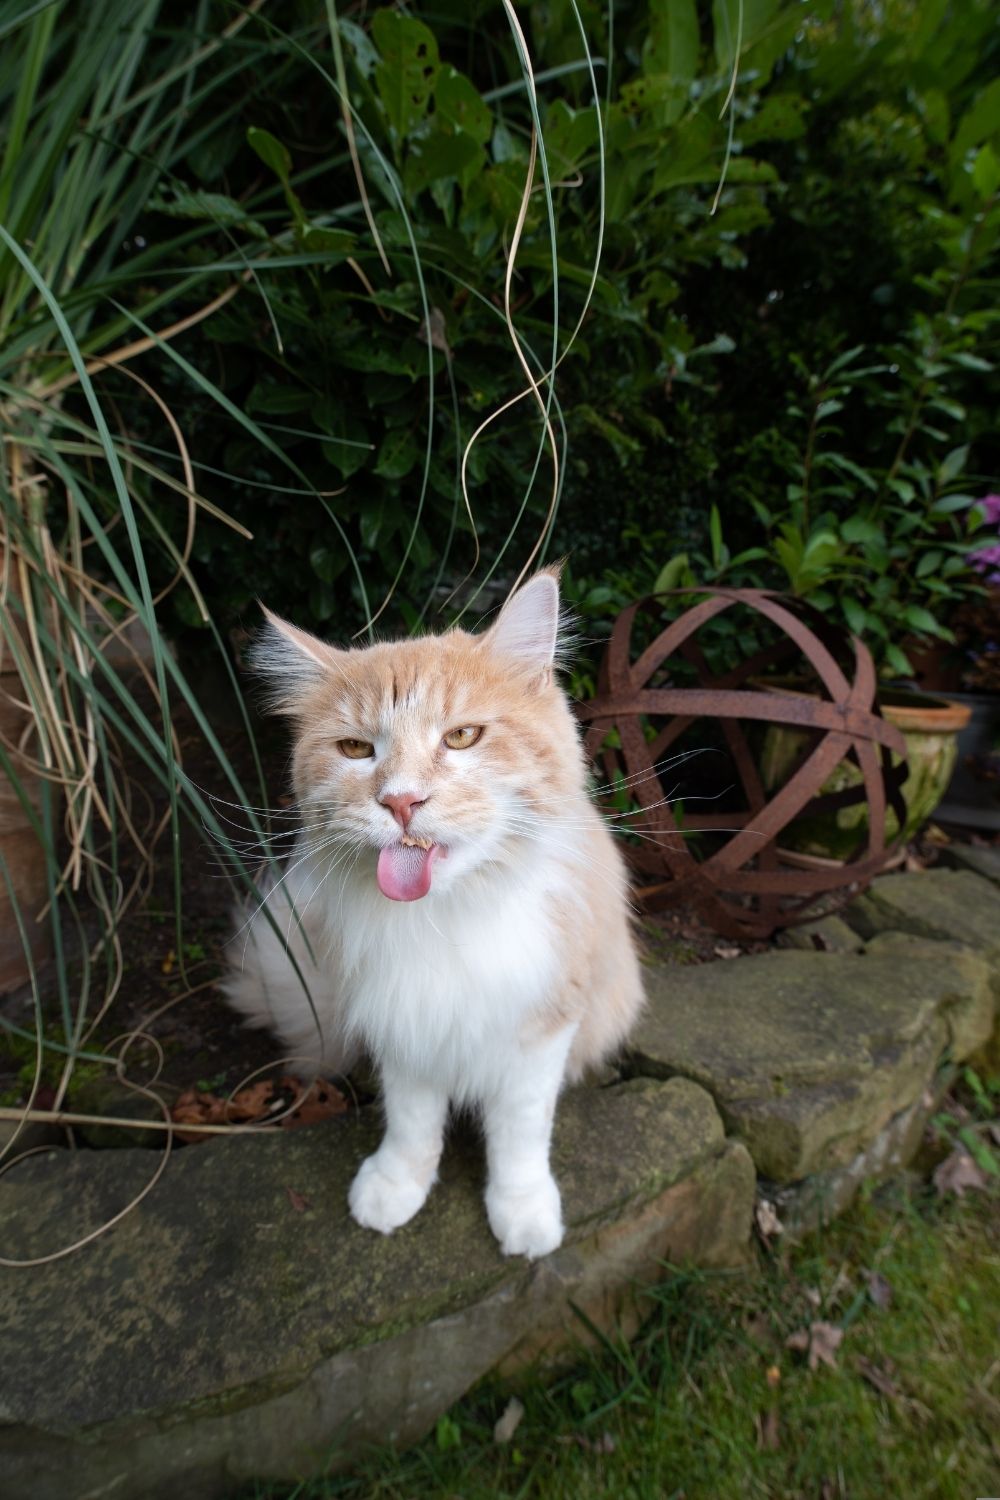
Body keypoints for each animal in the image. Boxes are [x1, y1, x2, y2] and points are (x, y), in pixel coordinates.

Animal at [223, 570, 644, 1254]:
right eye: (355, 749)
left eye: (461, 737)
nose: (401, 801)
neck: (448, 916)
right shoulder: (402, 1023)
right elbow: (412, 1124)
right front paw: (396, 1187)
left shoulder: (542, 1029)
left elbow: (520, 1136)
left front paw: (522, 1212)